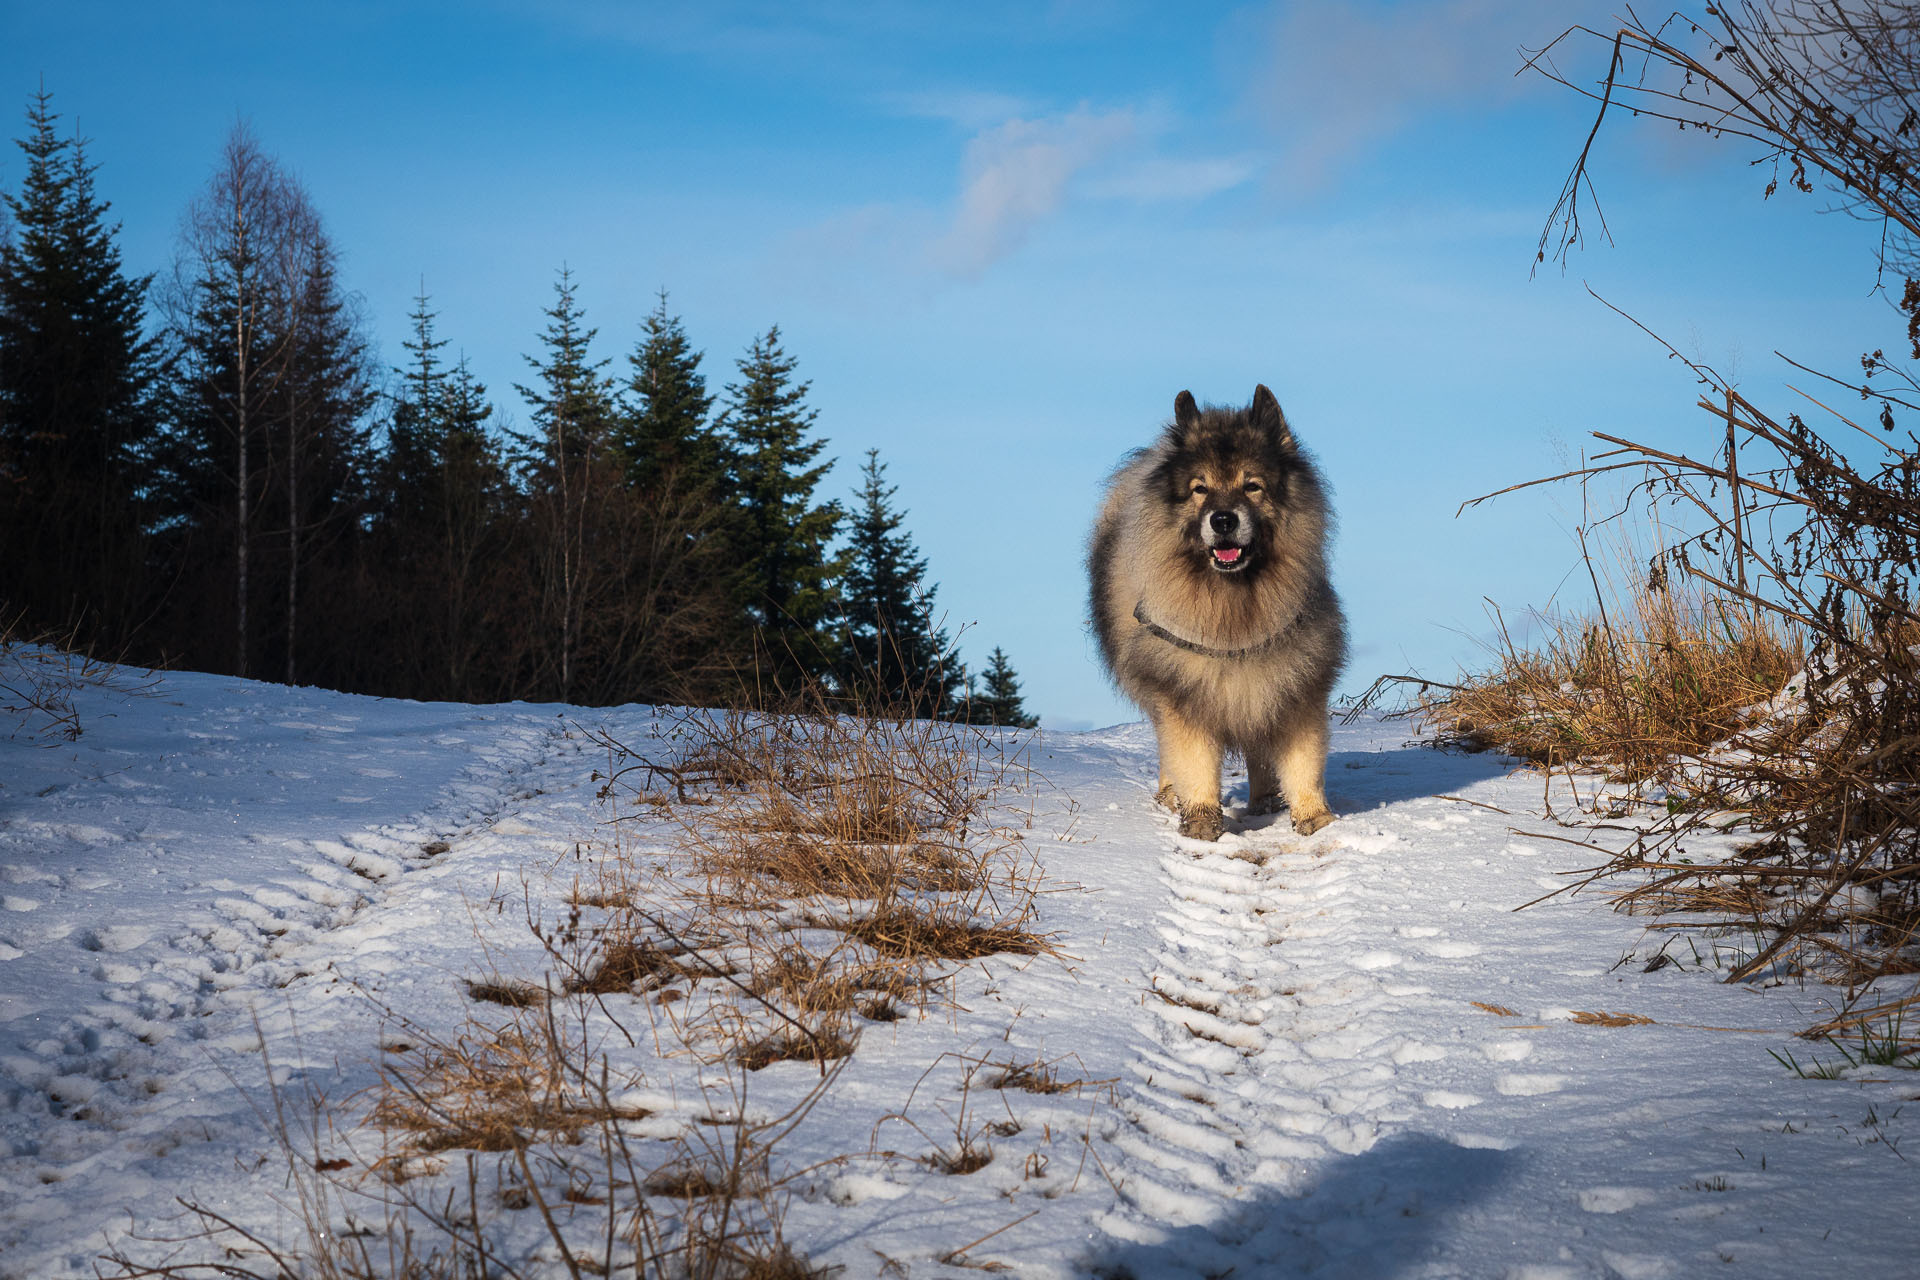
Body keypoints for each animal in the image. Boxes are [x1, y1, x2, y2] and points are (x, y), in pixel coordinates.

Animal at [1090, 385, 1344, 844]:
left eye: (1253, 486)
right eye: (1200, 489)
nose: (1223, 519)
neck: (1234, 607)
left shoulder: (1293, 683)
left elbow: (1303, 762)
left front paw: (1315, 820)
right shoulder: (1185, 695)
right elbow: (1192, 761)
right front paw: (1201, 821)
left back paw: (1266, 802)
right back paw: (1171, 796)